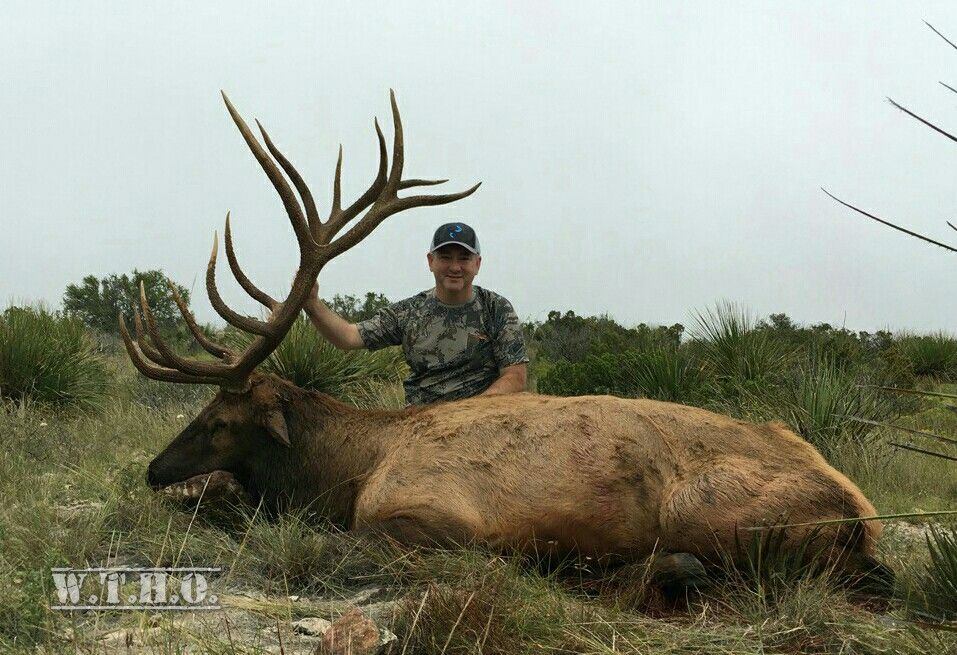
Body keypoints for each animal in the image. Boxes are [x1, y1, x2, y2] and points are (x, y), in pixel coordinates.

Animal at [123, 91, 890, 592]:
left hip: (708, 511)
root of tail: (863, 511)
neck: (352, 467)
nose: (155, 470)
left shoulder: (433, 515)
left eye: (219, 419)